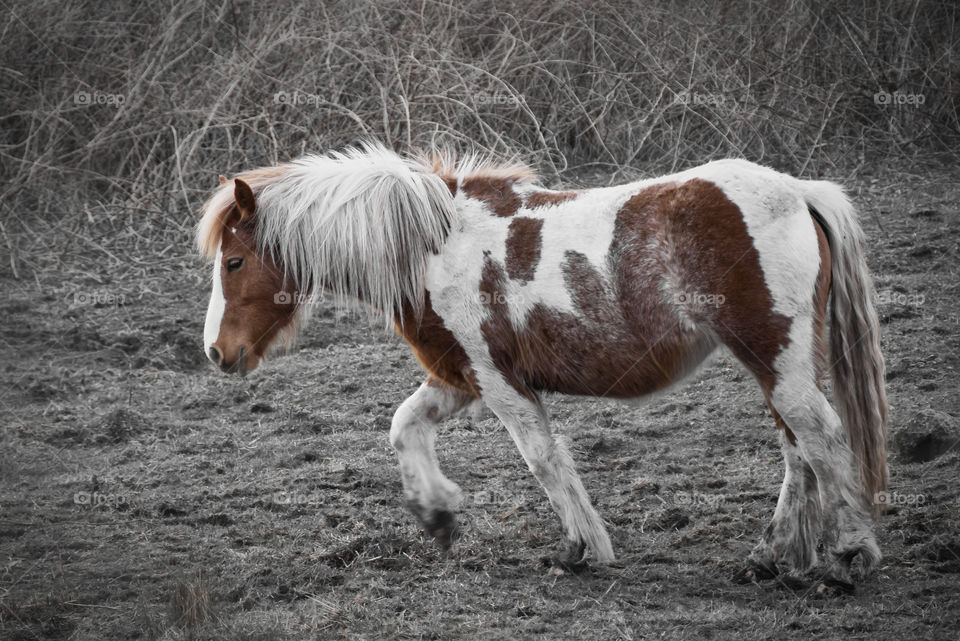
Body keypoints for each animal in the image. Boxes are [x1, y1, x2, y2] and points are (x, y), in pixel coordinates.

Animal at [199, 142, 888, 588]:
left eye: (234, 262)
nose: (216, 352)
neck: (433, 247)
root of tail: (798, 192)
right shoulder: (461, 376)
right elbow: (404, 425)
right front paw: (438, 516)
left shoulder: (501, 383)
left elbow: (543, 459)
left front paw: (582, 548)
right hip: (775, 363)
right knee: (798, 447)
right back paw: (774, 557)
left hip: (776, 357)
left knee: (821, 436)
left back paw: (849, 555)